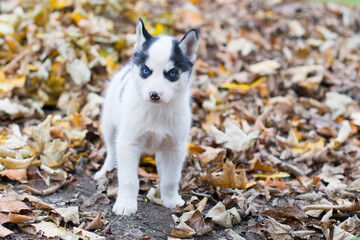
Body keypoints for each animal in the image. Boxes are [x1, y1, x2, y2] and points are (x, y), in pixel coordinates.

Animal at [94, 17, 198, 215]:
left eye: (172, 73)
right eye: (145, 71)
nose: (154, 94)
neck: (157, 112)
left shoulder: (175, 147)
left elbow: (171, 179)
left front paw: (171, 200)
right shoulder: (128, 143)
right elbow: (129, 179)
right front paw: (126, 204)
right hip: (110, 126)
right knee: (111, 150)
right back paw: (105, 171)